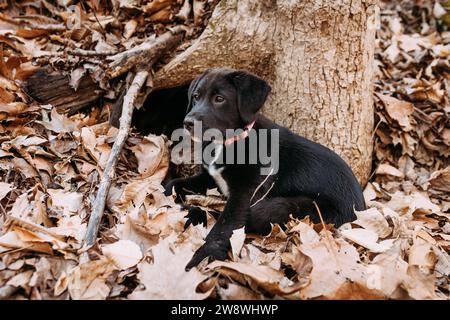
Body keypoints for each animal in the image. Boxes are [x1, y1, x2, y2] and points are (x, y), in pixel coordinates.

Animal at [165, 68, 366, 270]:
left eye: (219, 99)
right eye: (196, 97)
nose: (188, 122)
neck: (229, 141)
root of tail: (361, 210)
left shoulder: (246, 191)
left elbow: (226, 224)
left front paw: (204, 255)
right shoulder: (211, 177)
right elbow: (174, 183)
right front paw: (164, 197)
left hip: (289, 208)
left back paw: (192, 212)